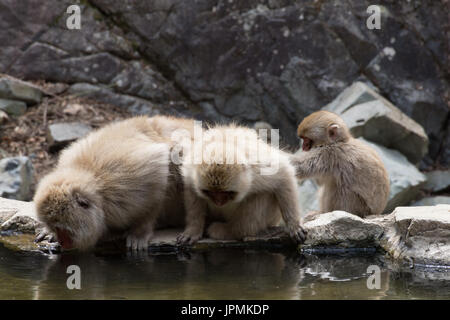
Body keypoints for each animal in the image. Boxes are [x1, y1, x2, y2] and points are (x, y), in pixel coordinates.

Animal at [35, 115, 197, 250]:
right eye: (54, 228)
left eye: (62, 228)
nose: (62, 241)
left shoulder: (130, 183)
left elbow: (160, 175)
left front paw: (141, 230)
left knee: (176, 153)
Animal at [176, 124, 306, 244]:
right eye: (210, 192)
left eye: (227, 192)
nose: (219, 202)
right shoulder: (190, 172)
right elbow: (192, 191)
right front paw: (193, 229)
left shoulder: (259, 167)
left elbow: (284, 175)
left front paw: (294, 225)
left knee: (262, 194)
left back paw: (231, 231)